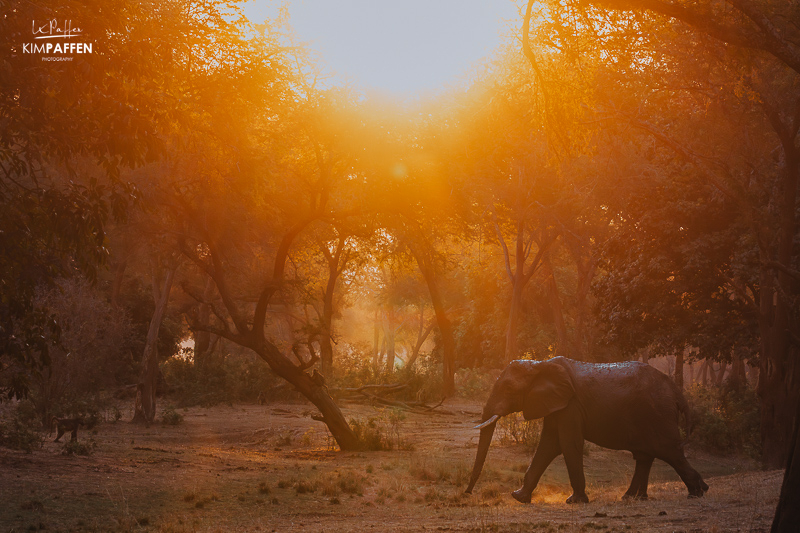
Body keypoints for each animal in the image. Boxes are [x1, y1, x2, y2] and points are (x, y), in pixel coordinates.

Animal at [466, 356, 708, 500]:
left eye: (508, 388)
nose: (467, 492)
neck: (540, 365)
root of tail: (676, 391)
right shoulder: (557, 405)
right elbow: (548, 445)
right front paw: (518, 497)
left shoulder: (570, 405)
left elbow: (567, 444)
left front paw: (575, 501)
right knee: (646, 455)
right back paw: (631, 498)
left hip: (657, 414)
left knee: (669, 450)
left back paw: (698, 492)